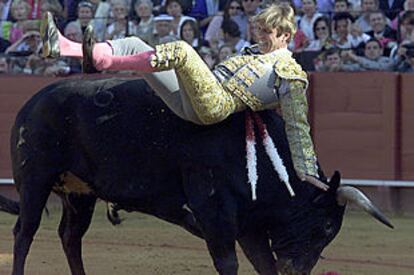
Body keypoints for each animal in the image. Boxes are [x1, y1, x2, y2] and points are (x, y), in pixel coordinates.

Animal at [0, 77, 392, 275]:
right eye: (325, 227)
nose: (296, 271)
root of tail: (33, 101)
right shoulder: (215, 215)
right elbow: (229, 263)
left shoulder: (249, 226)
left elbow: (262, 264)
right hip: (34, 181)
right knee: (25, 233)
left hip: (80, 193)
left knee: (70, 237)